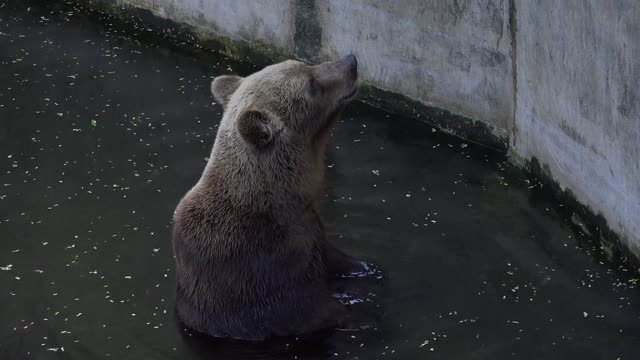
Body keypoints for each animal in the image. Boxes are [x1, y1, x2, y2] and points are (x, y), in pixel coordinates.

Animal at [171, 54, 370, 340]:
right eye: (311, 83)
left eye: (305, 64)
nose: (351, 61)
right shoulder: (266, 269)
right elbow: (310, 311)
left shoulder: (312, 234)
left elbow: (340, 260)